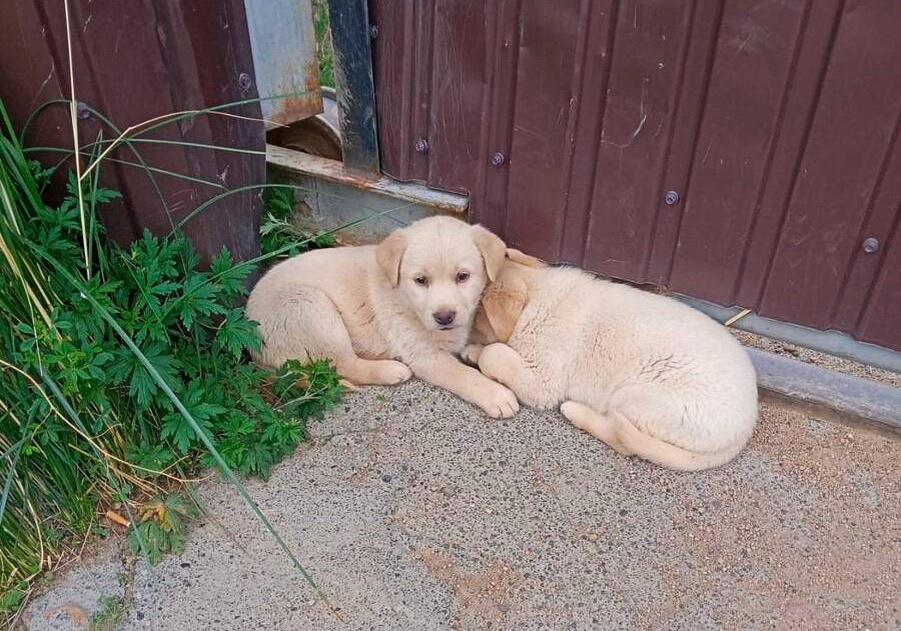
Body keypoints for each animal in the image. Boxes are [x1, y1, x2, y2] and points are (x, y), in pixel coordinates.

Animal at [246, 217, 516, 420]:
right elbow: (464, 375)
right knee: (344, 366)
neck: (405, 299)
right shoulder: (425, 355)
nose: (444, 317)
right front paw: (496, 395)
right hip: (311, 308)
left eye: (463, 276)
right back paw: (390, 370)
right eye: (420, 280)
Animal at [464, 249, 760, 472]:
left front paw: (480, 352)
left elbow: (496, 353)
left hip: (639, 393)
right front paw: (473, 350)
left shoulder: (543, 379)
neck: (537, 298)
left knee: (622, 439)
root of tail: (744, 430)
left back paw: (576, 412)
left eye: (475, 315)